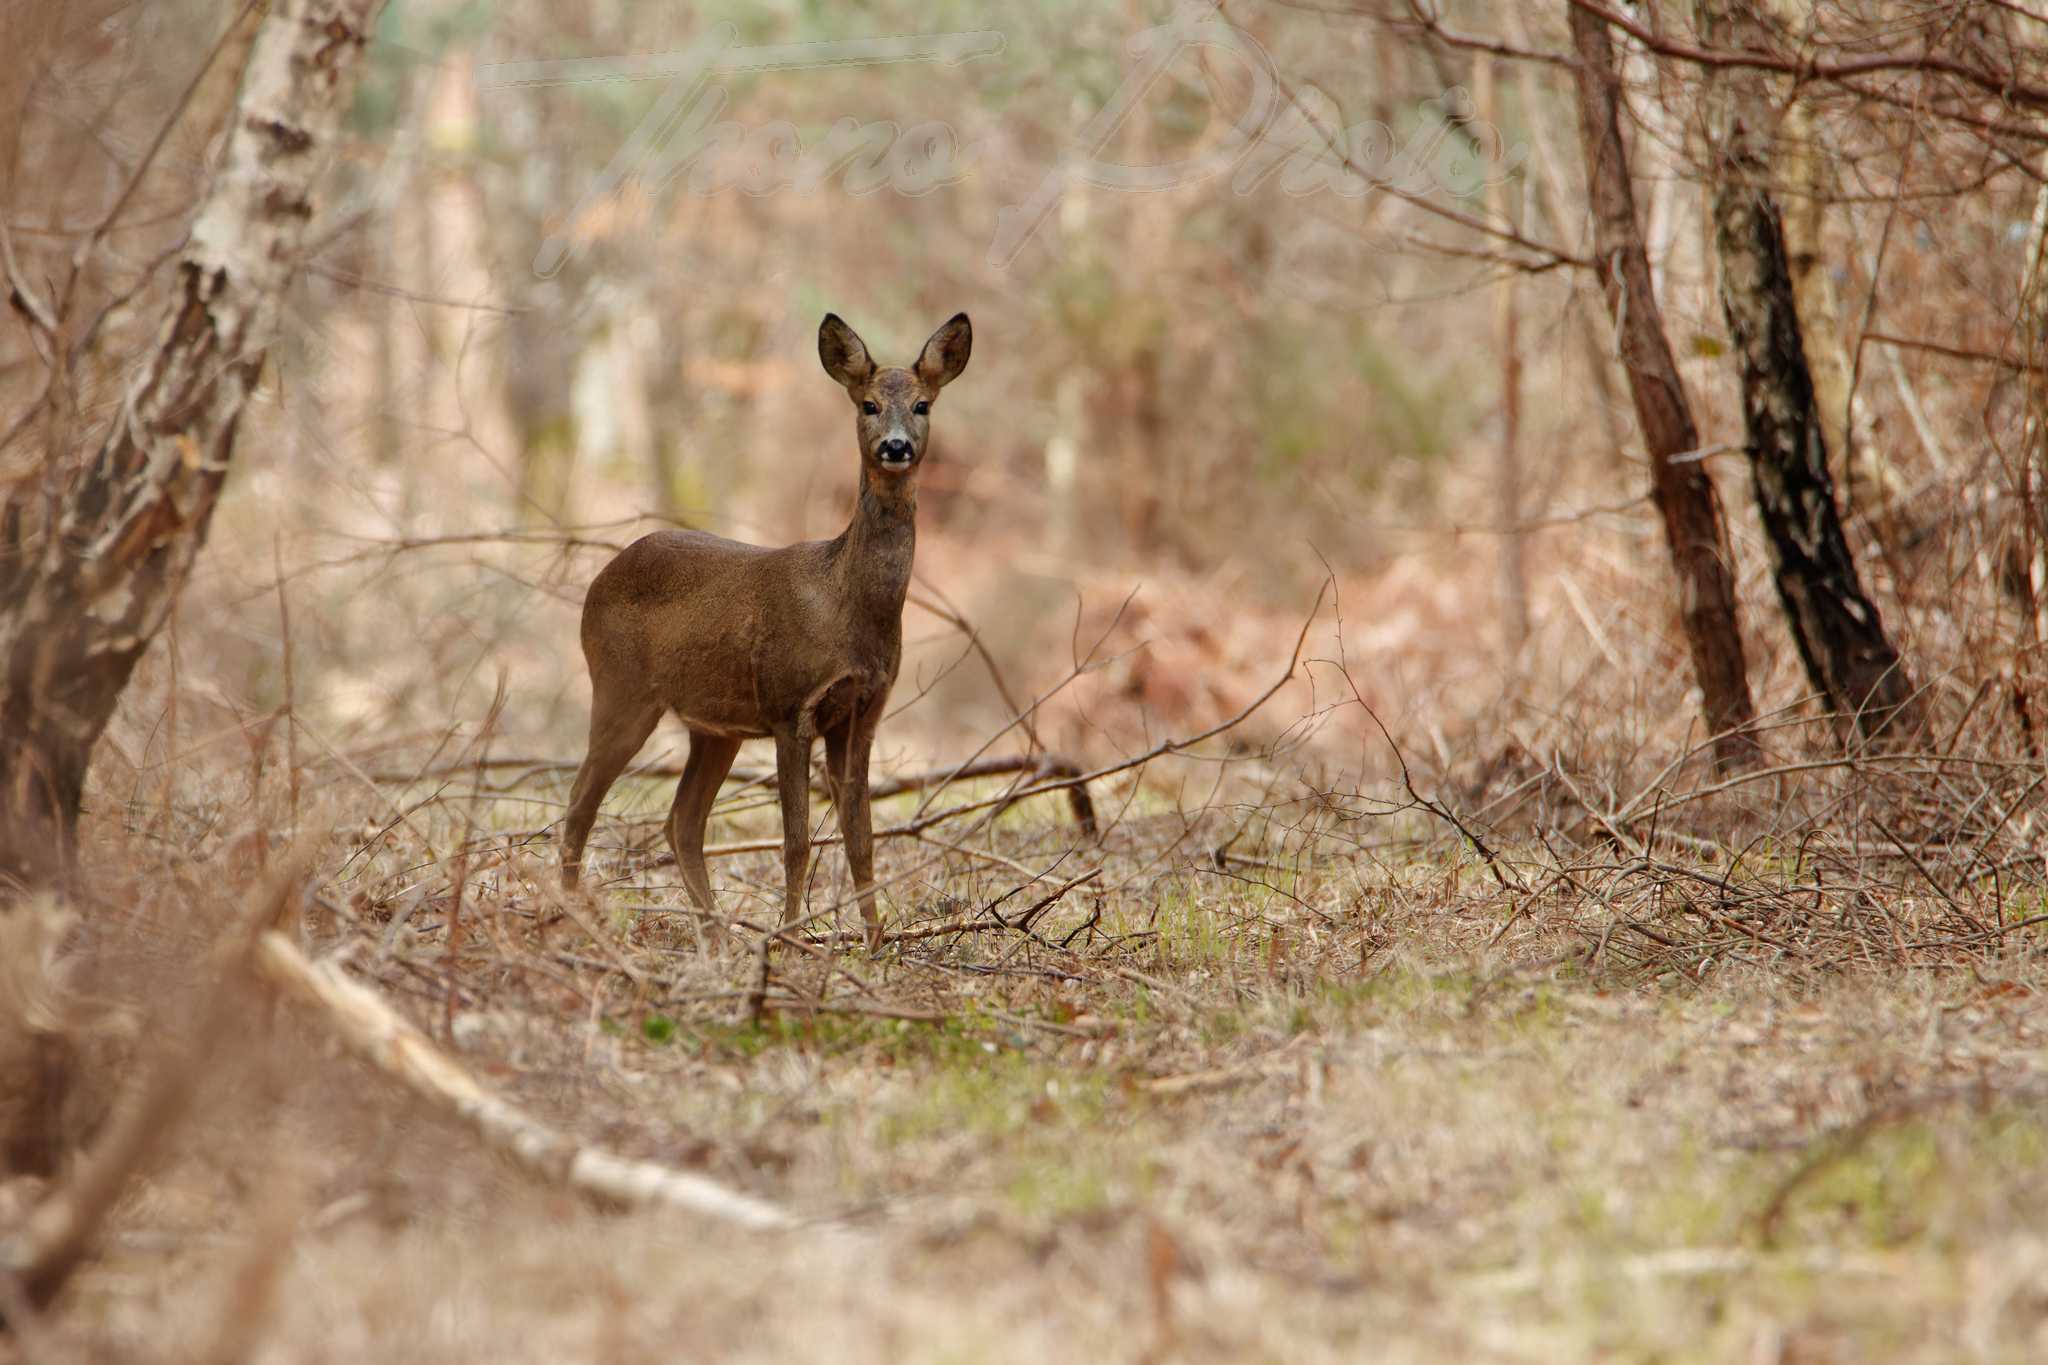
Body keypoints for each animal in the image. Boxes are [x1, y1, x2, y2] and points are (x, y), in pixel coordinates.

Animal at [561, 313, 974, 949]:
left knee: (682, 819)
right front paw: (791, 936)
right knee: (581, 800)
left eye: (923, 404)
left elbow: (862, 840)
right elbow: (797, 841)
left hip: (713, 727)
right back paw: (574, 920)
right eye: (869, 404)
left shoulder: (864, 712)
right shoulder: (789, 704)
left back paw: (714, 934)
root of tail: (600, 576)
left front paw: (874, 943)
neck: (845, 605)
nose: (896, 446)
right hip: (620, 687)